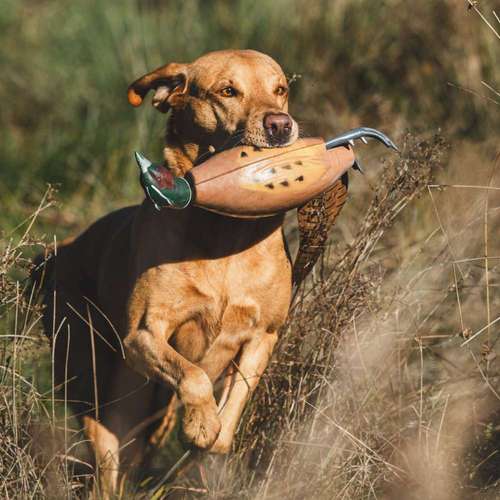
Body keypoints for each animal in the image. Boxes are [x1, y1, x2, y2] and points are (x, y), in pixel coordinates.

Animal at [38, 49, 300, 496]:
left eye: (280, 89)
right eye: (227, 91)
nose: (280, 126)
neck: (225, 231)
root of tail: (65, 249)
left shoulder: (264, 334)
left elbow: (237, 398)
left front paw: (213, 433)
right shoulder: (142, 335)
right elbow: (193, 376)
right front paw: (201, 424)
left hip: (151, 414)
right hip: (102, 396)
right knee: (107, 468)